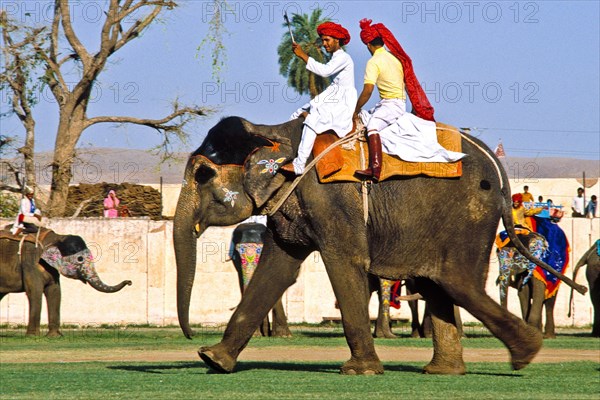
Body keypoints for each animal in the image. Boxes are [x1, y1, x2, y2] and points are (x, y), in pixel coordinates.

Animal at [0, 227, 132, 336]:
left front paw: (55, 336)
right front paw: (32, 336)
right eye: (80, 259)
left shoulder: (52, 269)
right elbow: (34, 291)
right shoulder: (30, 263)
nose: (129, 282)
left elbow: (55, 291)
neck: (56, 237)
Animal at [175, 115, 584, 376]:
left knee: (457, 282)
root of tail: (497, 170)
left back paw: (525, 354)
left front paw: (360, 372)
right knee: (440, 283)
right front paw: (213, 360)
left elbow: (344, 261)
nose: (192, 336)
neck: (270, 129)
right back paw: (445, 372)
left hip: (468, 216)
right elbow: (278, 269)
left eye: (203, 174)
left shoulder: (331, 199)